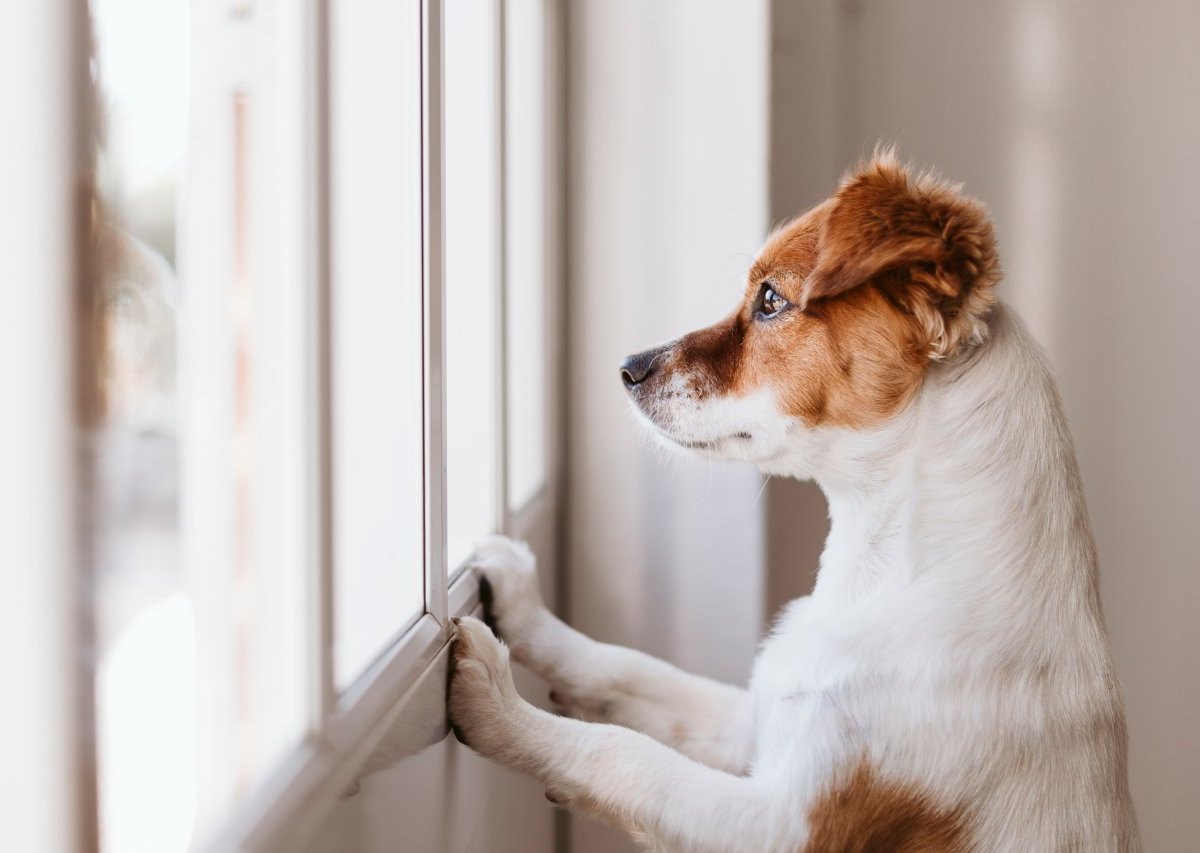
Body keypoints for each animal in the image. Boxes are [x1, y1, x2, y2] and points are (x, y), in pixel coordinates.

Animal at [446, 153, 1137, 853]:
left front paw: (498, 704)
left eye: (772, 300)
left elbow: (622, 754)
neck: (881, 576)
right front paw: (524, 607)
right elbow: (625, 669)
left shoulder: (783, 824)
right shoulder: (751, 724)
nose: (627, 367)